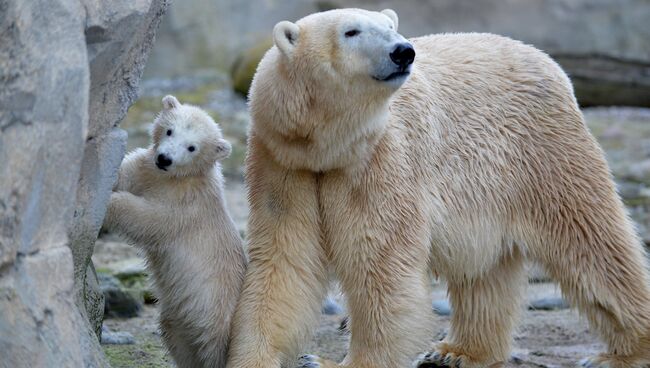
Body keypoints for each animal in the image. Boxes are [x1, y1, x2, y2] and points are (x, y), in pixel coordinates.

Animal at [102, 95, 247, 368]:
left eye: (192, 147)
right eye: (170, 130)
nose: (164, 159)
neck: (175, 177)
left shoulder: (185, 203)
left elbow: (150, 218)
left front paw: (111, 202)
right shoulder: (145, 168)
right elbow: (126, 172)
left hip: (215, 315)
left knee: (213, 351)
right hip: (178, 317)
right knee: (179, 340)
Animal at [225, 7, 648, 368]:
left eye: (390, 25)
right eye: (351, 31)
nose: (403, 51)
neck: (326, 149)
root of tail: (545, 59)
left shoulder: (379, 161)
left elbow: (379, 262)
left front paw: (333, 360)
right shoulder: (283, 164)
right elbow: (285, 261)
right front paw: (256, 357)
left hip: (544, 153)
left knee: (590, 243)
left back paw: (621, 353)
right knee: (484, 268)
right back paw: (459, 351)